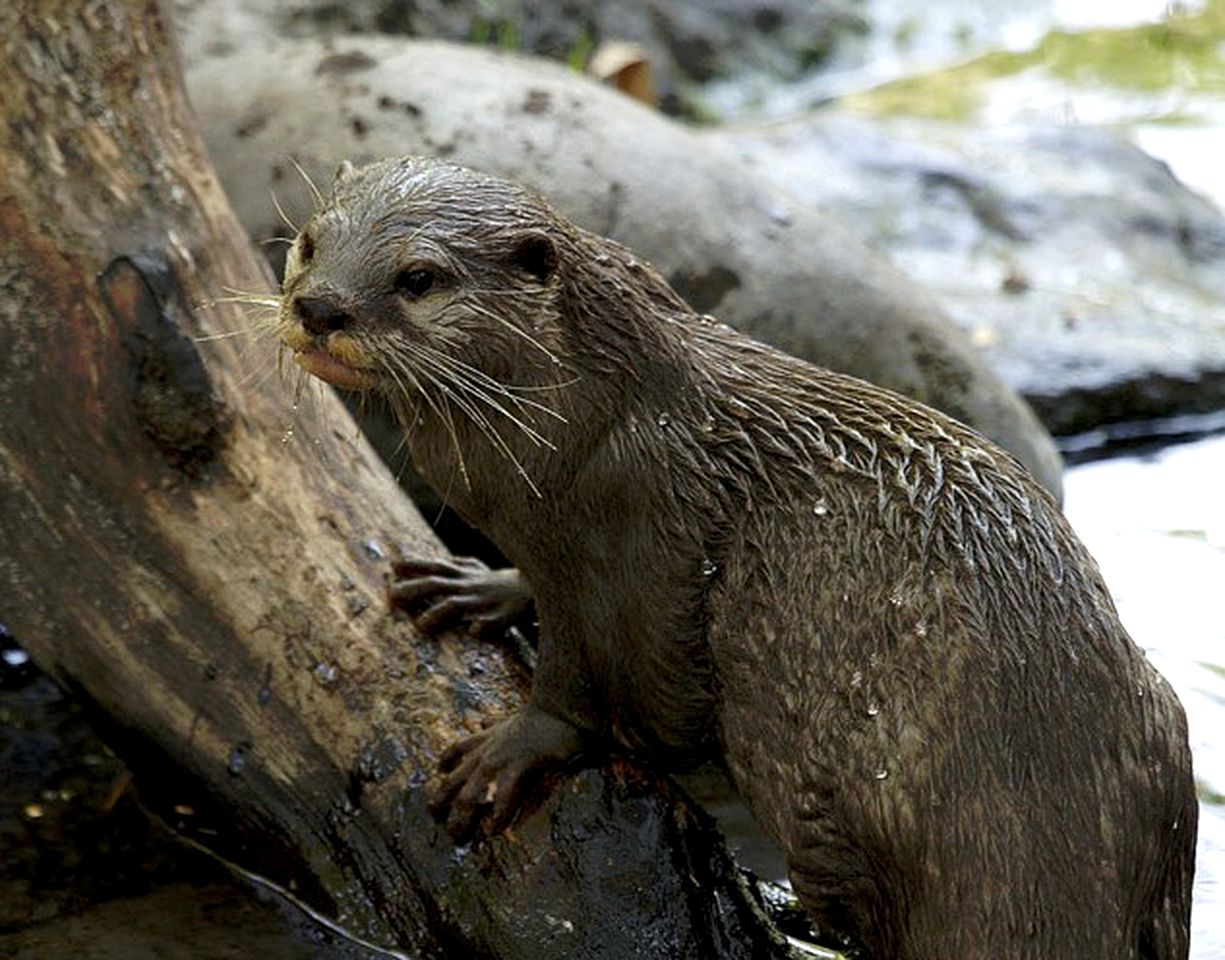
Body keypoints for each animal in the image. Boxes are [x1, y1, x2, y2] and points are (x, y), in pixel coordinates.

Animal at [278, 159, 1195, 960]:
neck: (574, 422)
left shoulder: (629, 539)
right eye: (310, 242)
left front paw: (508, 752)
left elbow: (589, 688)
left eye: (418, 278)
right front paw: (477, 585)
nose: (319, 306)